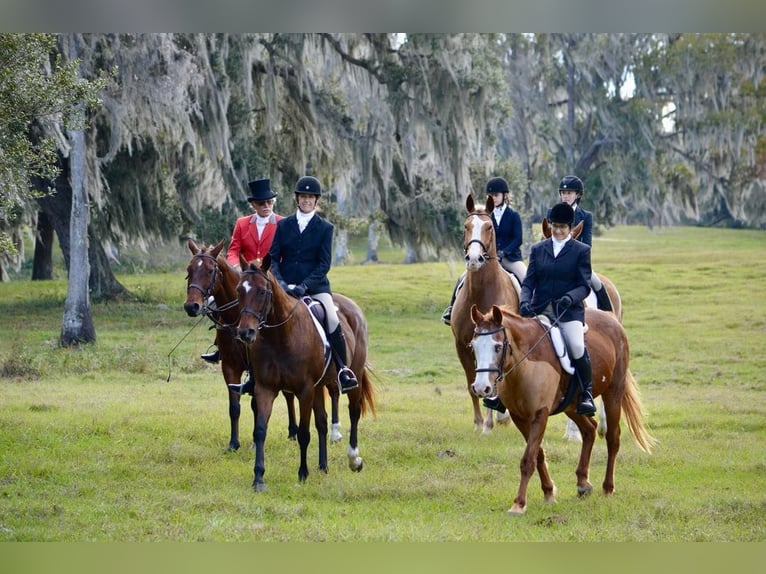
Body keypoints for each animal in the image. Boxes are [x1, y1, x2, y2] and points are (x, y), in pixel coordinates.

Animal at [183, 241, 300, 452]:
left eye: (210, 270)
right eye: (189, 270)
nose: (191, 306)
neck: (236, 316)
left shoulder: (257, 370)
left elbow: (256, 404)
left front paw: (254, 444)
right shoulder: (230, 366)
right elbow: (234, 406)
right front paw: (233, 443)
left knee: (288, 395)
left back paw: (293, 431)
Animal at [236, 256, 376, 496]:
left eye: (262, 292)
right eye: (239, 290)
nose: (246, 333)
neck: (280, 336)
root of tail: (353, 306)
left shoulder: (304, 390)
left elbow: (303, 433)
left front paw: (302, 474)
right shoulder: (265, 388)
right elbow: (260, 430)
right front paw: (258, 478)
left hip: (352, 376)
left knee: (354, 412)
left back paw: (353, 459)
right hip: (320, 386)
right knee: (322, 421)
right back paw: (323, 466)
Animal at [450, 194, 520, 432]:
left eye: (489, 227)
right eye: (466, 226)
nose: (473, 259)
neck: (480, 294)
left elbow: (493, 380)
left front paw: (488, 424)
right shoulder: (462, 345)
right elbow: (471, 381)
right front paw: (478, 423)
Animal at [472, 306, 656, 516]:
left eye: (497, 347)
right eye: (473, 346)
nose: (481, 388)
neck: (525, 364)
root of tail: (611, 318)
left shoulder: (540, 414)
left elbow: (528, 459)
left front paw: (518, 504)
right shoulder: (520, 417)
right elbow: (538, 454)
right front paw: (549, 493)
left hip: (613, 392)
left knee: (612, 438)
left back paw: (608, 488)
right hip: (571, 405)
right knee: (589, 429)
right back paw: (583, 483)